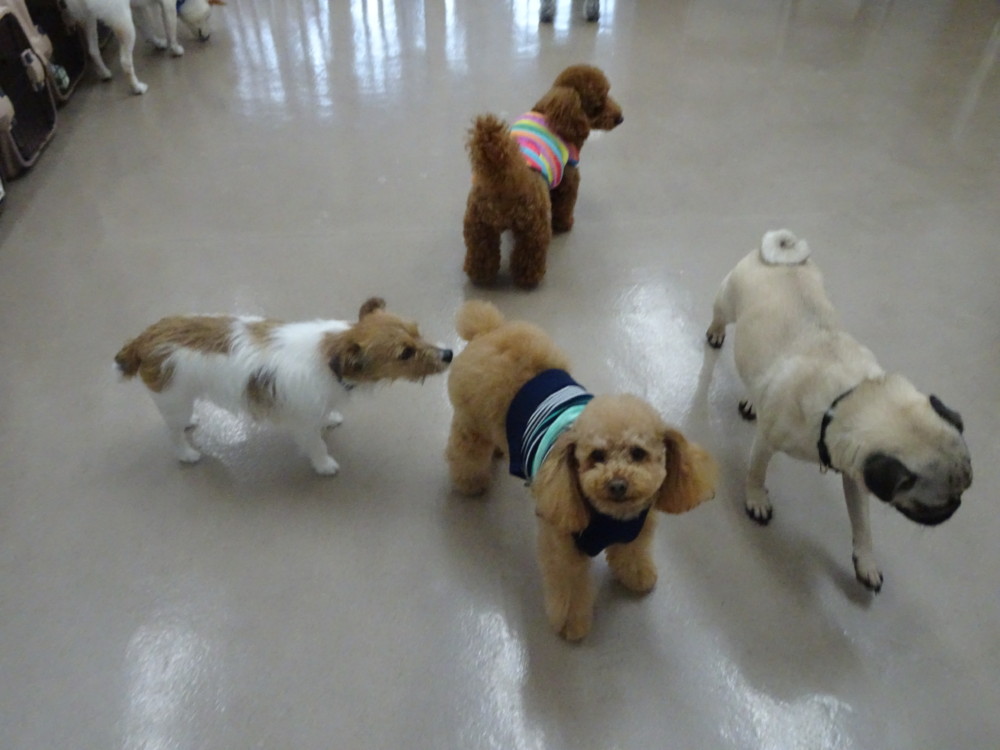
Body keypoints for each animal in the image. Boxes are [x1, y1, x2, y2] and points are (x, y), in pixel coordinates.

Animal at [64, 0, 223, 95]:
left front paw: (159, 43)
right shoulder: (168, 5)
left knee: (93, 50)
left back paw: (104, 73)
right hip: (124, 23)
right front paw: (175, 49)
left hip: (89, 20)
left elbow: (148, 30)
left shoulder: (137, 9)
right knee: (125, 62)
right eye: (208, 17)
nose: (208, 37)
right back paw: (137, 87)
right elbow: (170, 29)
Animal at [115, 297, 452, 475]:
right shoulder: (304, 423)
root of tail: (144, 339)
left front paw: (331, 418)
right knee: (172, 433)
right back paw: (186, 453)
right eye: (405, 354)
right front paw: (325, 464)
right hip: (173, 399)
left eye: (417, 331)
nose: (449, 354)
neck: (331, 352)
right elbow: (316, 444)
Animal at [446, 301, 716, 640]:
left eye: (638, 453)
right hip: (472, 422)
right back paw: (470, 481)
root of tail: (489, 330)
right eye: (595, 456)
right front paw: (572, 624)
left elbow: (632, 554)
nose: (617, 484)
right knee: (464, 450)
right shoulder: (563, 548)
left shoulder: (636, 533)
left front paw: (636, 576)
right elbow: (571, 588)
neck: (612, 518)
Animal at [462, 65, 623, 288]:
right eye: (600, 100)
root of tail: (504, 176)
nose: (620, 117)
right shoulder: (569, 175)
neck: (549, 111)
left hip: (479, 226)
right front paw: (565, 224)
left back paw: (481, 276)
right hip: (534, 226)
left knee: (481, 253)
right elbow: (565, 204)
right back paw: (529, 278)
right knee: (530, 254)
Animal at [706, 229, 973, 592]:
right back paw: (716, 332)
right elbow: (756, 473)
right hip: (727, 301)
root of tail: (785, 257)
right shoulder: (766, 443)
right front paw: (756, 499)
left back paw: (751, 400)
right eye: (933, 505)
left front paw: (866, 560)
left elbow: (863, 525)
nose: (955, 508)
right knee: (720, 316)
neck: (848, 399)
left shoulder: (855, 475)